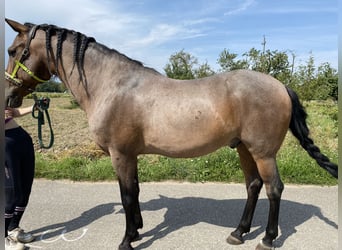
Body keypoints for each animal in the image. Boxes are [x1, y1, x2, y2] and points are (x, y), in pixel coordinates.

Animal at [4, 18, 336, 249]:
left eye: (13, 50)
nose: (8, 96)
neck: (112, 85)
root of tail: (280, 85)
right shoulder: (130, 156)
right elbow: (135, 191)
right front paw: (138, 230)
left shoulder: (120, 155)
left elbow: (127, 195)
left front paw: (127, 239)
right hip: (243, 147)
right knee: (253, 186)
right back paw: (238, 232)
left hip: (263, 152)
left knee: (273, 188)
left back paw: (266, 238)